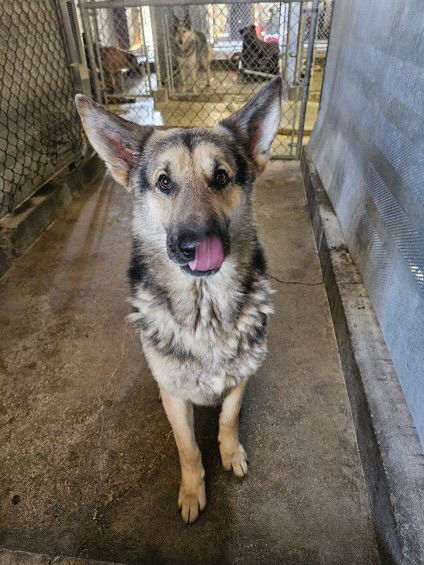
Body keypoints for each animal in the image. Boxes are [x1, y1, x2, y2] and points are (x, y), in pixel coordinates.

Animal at [75, 77, 282, 524]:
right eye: (164, 182)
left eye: (220, 177)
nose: (195, 245)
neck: (206, 310)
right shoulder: (177, 401)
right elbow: (187, 447)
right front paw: (192, 490)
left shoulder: (239, 379)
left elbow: (228, 419)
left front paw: (230, 453)